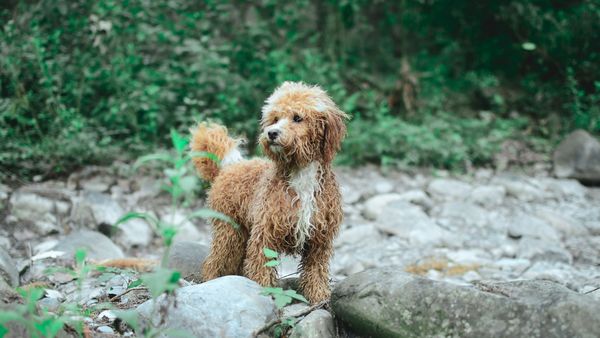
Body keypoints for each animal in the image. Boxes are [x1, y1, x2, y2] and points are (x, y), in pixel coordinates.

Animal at [190, 82, 350, 304]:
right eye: (275, 118)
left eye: (297, 117)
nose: (271, 133)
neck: (301, 173)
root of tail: (229, 167)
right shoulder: (265, 234)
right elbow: (261, 267)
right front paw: (264, 292)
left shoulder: (319, 239)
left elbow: (316, 271)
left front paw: (318, 296)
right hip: (229, 231)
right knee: (216, 261)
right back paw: (212, 281)